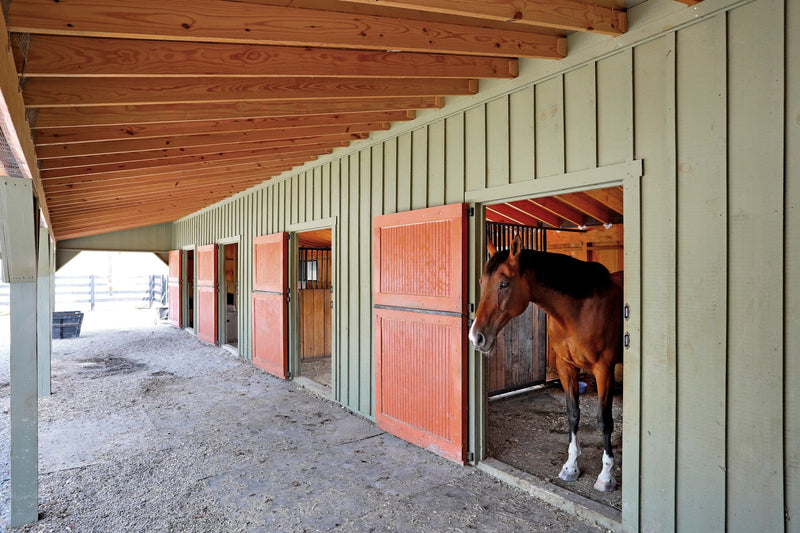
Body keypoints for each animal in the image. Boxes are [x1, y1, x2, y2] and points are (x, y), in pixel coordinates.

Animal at [468, 235, 624, 492]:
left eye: (504, 284)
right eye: (482, 281)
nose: (476, 337)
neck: (579, 310)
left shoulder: (604, 369)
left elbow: (604, 420)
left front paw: (606, 476)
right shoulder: (566, 366)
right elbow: (573, 413)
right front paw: (570, 467)